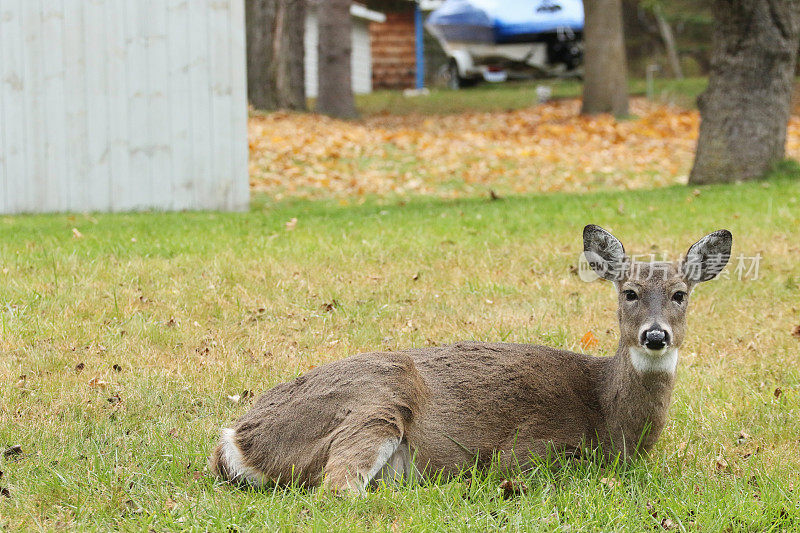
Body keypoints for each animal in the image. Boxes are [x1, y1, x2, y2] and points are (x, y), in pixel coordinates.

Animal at [211, 223, 732, 490]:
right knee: (337, 488)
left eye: (681, 294)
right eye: (629, 292)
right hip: (377, 398)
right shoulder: (529, 446)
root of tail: (235, 439)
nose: (655, 335)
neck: (607, 416)